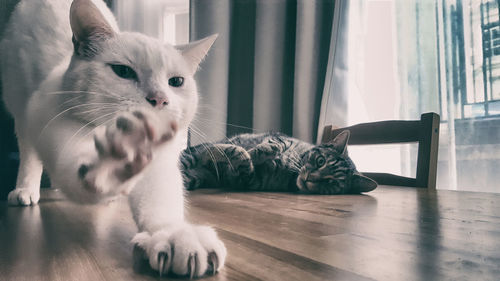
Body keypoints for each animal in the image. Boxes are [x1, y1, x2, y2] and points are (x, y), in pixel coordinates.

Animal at [0, 0, 226, 276]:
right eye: (123, 71)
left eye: (176, 81)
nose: (160, 99)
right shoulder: (57, 124)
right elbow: (75, 167)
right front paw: (111, 166)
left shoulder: (157, 161)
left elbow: (161, 203)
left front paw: (175, 236)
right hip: (20, 109)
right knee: (29, 155)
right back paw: (25, 190)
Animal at [182, 130, 376, 194]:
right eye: (321, 161)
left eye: (331, 182)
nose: (309, 178)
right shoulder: (280, 138)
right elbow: (273, 145)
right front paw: (253, 152)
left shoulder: (248, 180)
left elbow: (244, 163)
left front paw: (242, 154)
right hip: (190, 157)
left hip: (193, 178)